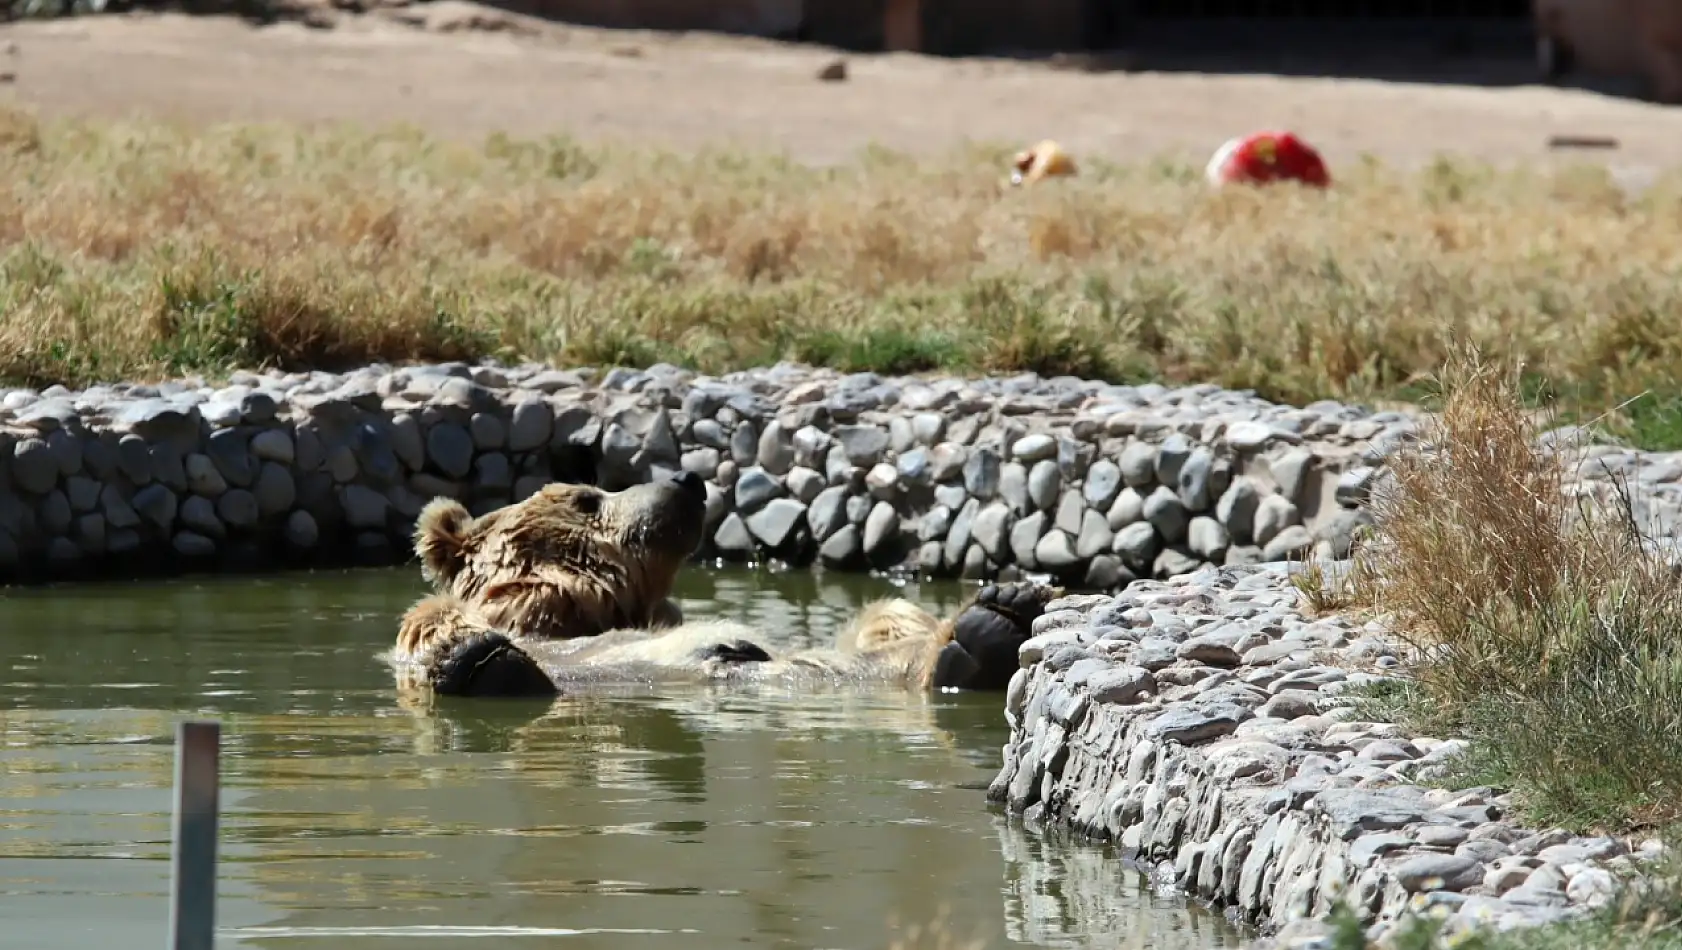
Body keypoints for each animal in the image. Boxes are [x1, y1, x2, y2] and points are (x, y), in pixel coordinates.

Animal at [386, 467, 1056, 696]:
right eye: (585, 496)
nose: (686, 479)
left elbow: (882, 615)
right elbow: (429, 624)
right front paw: (470, 648)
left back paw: (1001, 615)